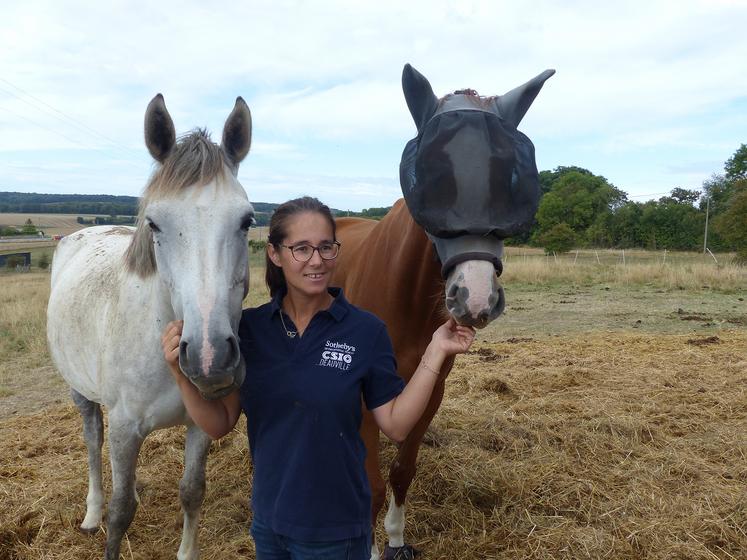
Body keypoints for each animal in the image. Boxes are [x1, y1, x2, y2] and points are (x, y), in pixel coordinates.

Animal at [49, 94, 258, 556]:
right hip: (81, 393)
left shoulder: (200, 425)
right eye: (155, 223)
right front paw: (108, 520)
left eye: (247, 221)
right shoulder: (126, 429)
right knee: (93, 443)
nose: (210, 357)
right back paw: (91, 514)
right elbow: (120, 513)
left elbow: (192, 491)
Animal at [334, 63, 556, 556]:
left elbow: (402, 472)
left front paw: (396, 540)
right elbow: (370, 486)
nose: (475, 298)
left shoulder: (429, 392)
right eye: (428, 179)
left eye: (513, 180)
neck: (407, 300)